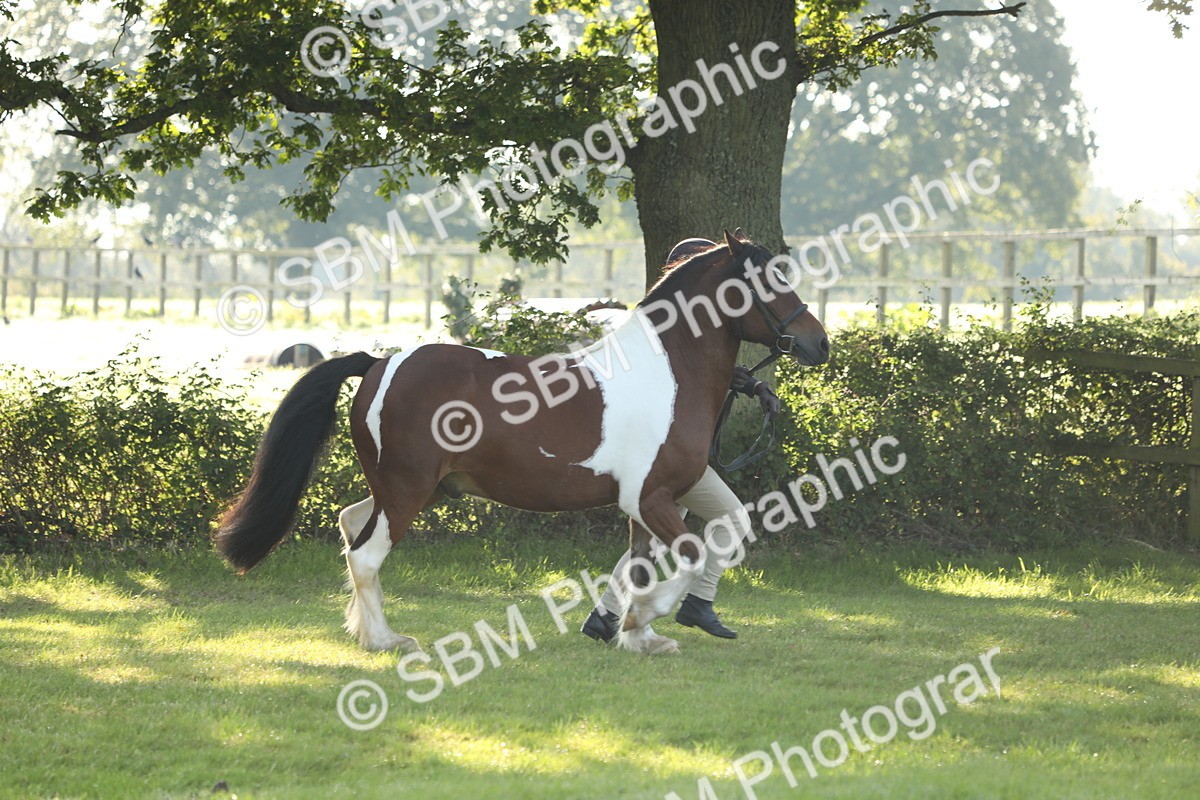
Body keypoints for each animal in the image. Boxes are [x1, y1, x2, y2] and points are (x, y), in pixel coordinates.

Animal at [214, 229, 829, 655]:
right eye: (770, 282)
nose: (818, 343)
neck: (668, 372)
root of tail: (380, 363)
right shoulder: (651, 498)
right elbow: (682, 560)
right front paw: (641, 621)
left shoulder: (647, 504)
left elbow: (638, 566)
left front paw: (637, 637)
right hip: (408, 490)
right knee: (365, 555)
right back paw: (389, 641)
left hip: (412, 488)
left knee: (350, 526)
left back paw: (368, 633)